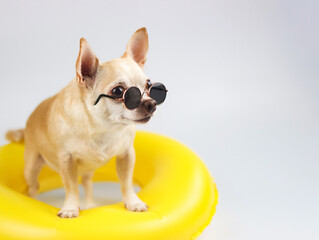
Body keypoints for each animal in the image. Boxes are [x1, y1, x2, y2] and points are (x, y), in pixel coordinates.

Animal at [5, 27, 168, 218]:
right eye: (118, 91)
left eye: (149, 85)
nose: (151, 104)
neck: (102, 129)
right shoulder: (66, 160)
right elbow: (71, 187)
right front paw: (70, 208)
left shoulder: (126, 155)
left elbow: (126, 182)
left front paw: (133, 203)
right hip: (31, 166)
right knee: (33, 186)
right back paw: (35, 200)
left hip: (88, 169)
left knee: (87, 182)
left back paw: (90, 205)